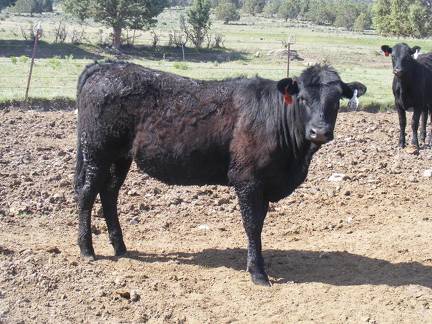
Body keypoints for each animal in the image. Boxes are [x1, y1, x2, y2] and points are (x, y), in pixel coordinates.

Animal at [76, 61, 366, 286]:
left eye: (336, 101)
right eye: (303, 98)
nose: (320, 131)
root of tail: (106, 66)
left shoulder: (264, 185)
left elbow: (260, 223)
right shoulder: (247, 180)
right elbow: (252, 225)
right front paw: (258, 273)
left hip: (120, 157)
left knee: (109, 193)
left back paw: (121, 247)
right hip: (97, 152)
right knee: (87, 194)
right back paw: (87, 249)